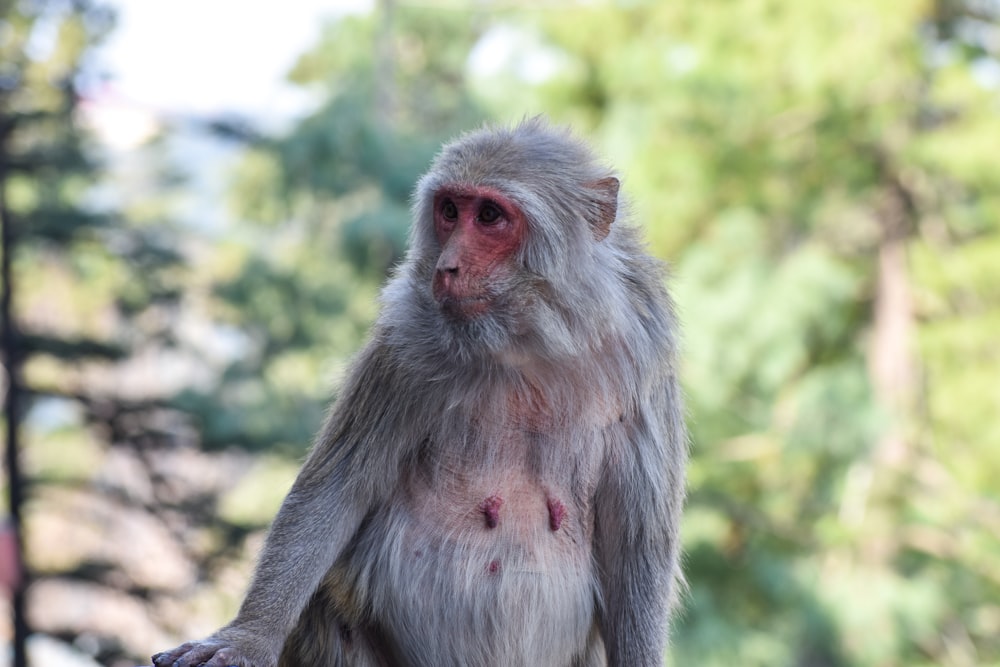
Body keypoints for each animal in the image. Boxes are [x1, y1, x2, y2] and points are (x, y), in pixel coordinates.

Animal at [150, 118, 688, 667]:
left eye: (489, 215)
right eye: (450, 211)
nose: (446, 267)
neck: (528, 340)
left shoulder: (644, 359)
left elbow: (636, 541)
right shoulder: (405, 339)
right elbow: (337, 488)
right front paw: (250, 635)